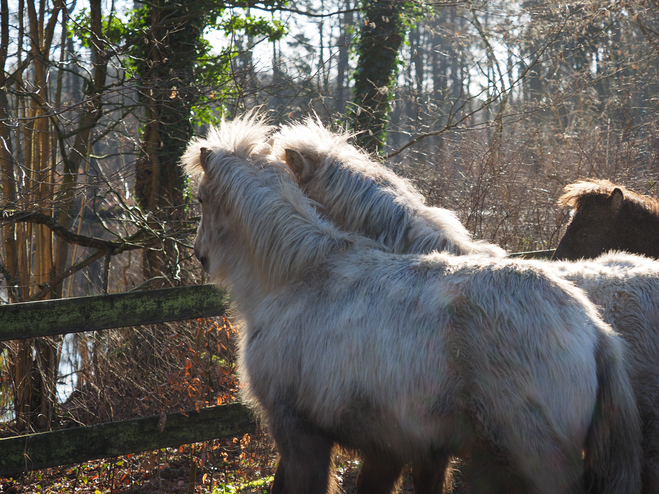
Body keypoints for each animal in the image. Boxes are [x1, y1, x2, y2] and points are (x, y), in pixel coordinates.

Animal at [180, 115, 640, 494]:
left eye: (200, 199)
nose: (199, 254)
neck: (298, 276)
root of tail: (593, 329)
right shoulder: (401, 448)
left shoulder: (299, 434)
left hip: (536, 464)